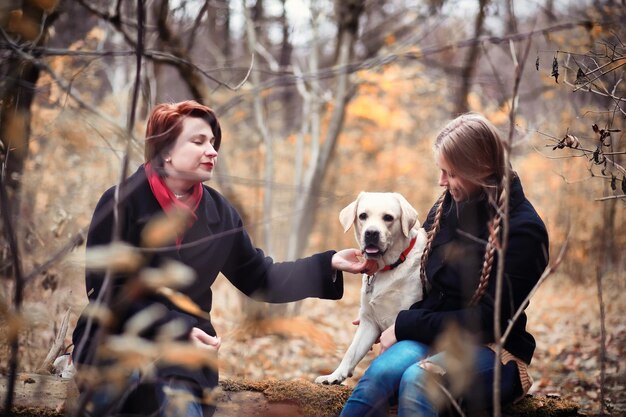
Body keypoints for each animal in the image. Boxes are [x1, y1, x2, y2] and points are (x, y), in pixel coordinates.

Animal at [314, 192, 426, 384]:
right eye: (363, 216)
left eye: (388, 217)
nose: (371, 233)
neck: (388, 267)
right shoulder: (368, 321)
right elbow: (351, 352)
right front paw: (335, 375)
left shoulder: (400, 318)